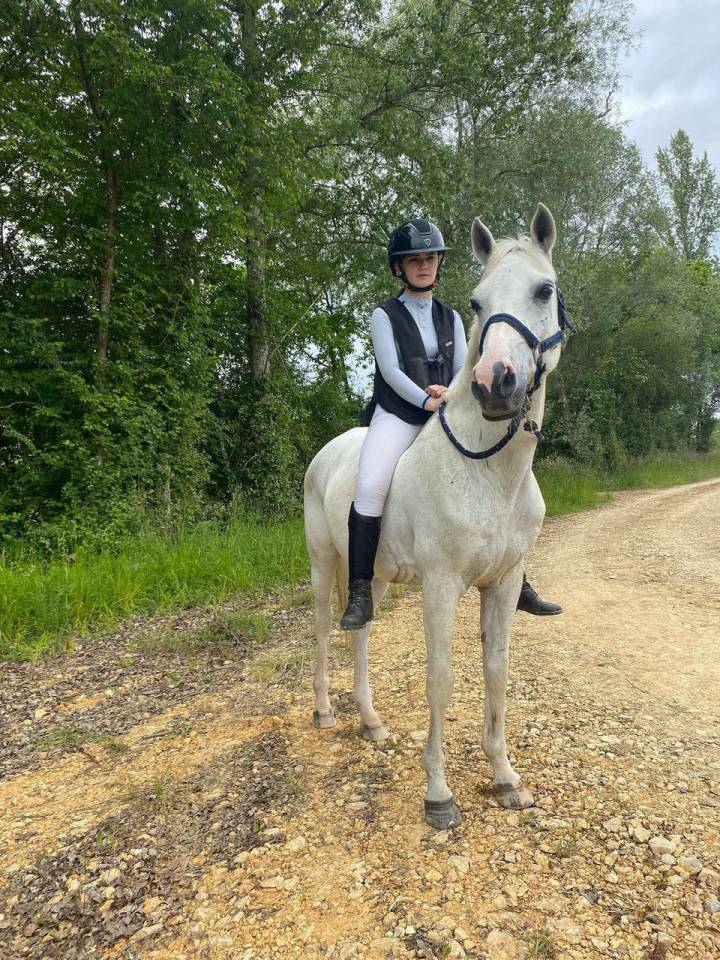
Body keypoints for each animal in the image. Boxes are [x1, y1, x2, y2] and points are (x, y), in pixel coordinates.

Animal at [303, 204, 572, 829]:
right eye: (475, 301)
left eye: (544, 290)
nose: (495, 382)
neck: (490, 473)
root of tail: (327, 452)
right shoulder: (442, 586)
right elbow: (442, 682)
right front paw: (439, 793)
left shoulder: (503, 584)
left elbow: (496, 674)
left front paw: (505, 779)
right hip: (324, 563)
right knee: (325, 629)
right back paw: (326, 712)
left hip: (372, 574)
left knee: (360, 630)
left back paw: (371, 722)